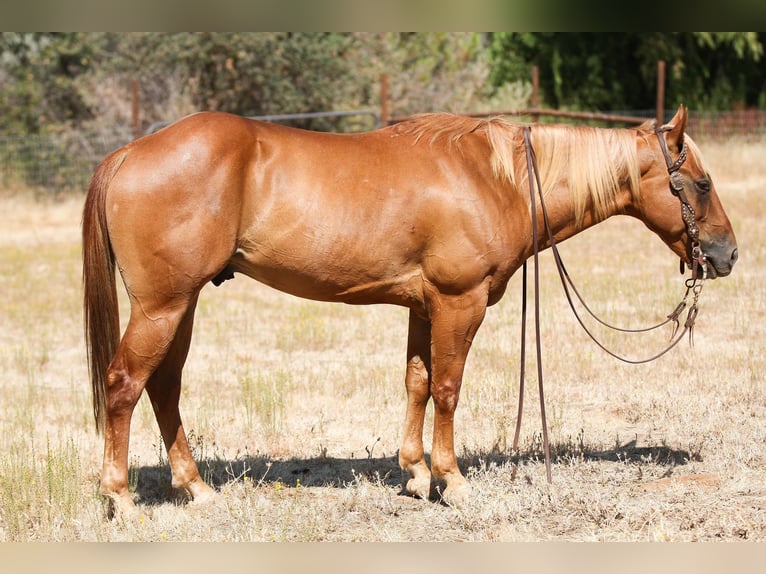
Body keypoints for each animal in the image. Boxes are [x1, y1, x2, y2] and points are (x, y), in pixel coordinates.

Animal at [83, 104, 737, 515]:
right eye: (701, 184)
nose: (727, 254)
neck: (496, 178)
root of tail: (129, 153)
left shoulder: (423, 308)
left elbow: (417, 382)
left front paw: (417, 474)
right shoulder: (458, 302)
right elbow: (447, 388)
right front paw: (453, 480)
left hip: (182, 304)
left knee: (163, 387)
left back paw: (196, 489)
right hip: (162, 306)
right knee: (124, 384)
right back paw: (121, 498)